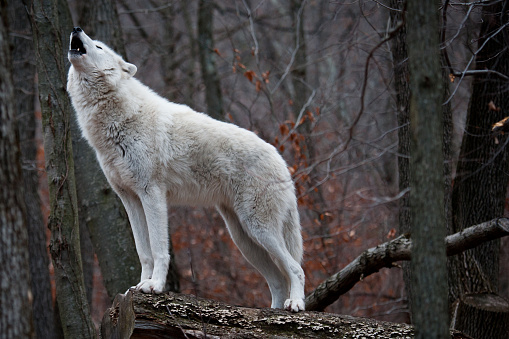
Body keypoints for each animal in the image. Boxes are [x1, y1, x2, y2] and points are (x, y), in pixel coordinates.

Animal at [67, 27, 306, 314]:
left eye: (99, 47)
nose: (76, 28)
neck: (118, 118)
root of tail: (281, 160)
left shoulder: (152, 194)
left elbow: (159, 248)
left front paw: (155, 286)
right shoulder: (130, 199)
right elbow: (143, 251)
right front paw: (137, 286)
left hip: (259, 229)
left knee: (295, 268)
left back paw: (296, 303)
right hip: (244, 239)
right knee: (278, 279)